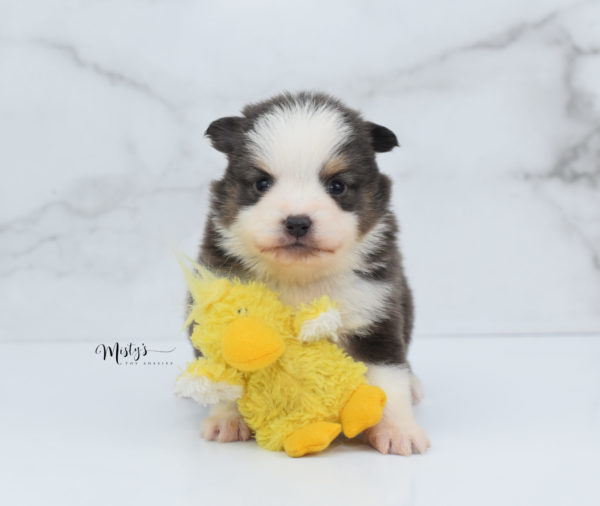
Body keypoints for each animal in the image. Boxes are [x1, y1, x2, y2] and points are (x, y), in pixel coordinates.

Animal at [190, 91, 428, 454]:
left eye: (337, 186)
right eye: (262, 183)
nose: (298, 222)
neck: (299, 277)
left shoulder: (375, 311)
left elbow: (388, 378)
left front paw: (399, 431)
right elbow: (227, 376)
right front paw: (227, 420)